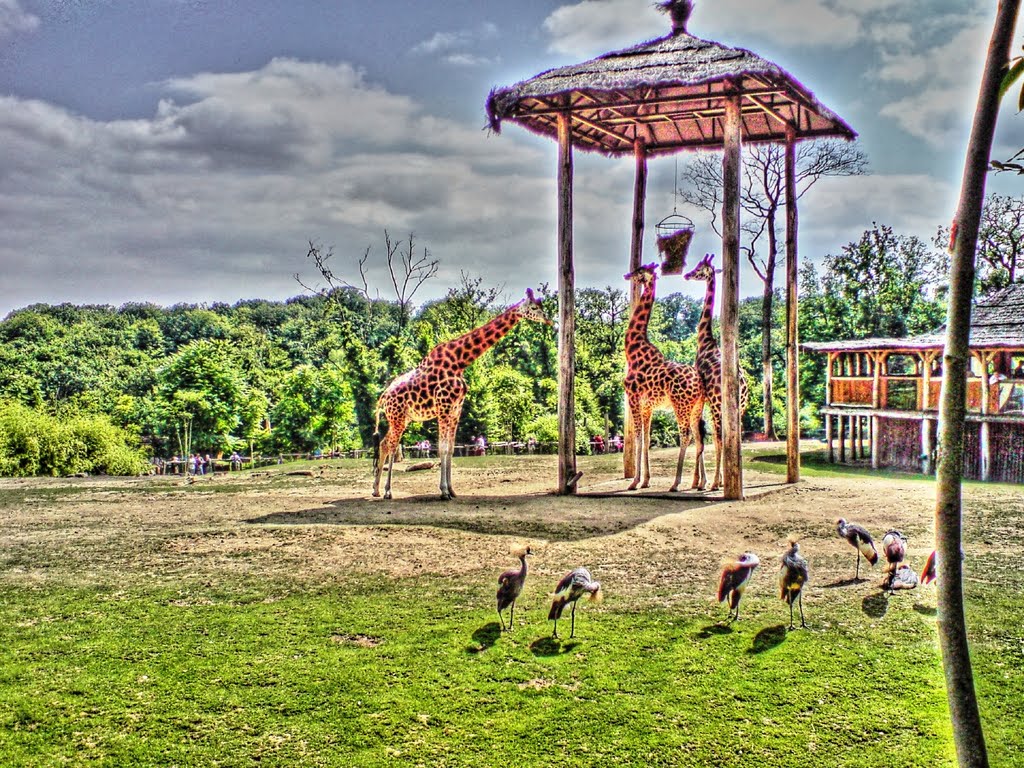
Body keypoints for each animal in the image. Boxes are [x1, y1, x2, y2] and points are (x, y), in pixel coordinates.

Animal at [372, 288, 552, 499]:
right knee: (392, 446)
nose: (549, 321)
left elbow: (450, 449)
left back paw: (376, 489)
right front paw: (443, 492)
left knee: (384, 443)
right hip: (398, 417)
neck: (459, 362)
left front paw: (452, 490)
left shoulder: (456, 409)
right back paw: (387, 491)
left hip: (403, 418)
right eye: (534, 307)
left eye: (541, 305)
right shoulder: (444, 408)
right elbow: (442, 448)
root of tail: (383, 397)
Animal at [622, 264, 704, 493]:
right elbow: (647, 438)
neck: (632, 349)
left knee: (686, 436)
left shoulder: (633, 398)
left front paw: (634, 481)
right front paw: (645, 480)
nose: (627, 275)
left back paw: (676, 483)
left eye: (640, 270)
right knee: (699, 437)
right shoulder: (647, 406)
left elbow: (638, 437)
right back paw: (701, 482)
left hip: (681, 405)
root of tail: (700, 384)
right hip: (696, 407)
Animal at [684, 252, 749, 493]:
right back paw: (730, 480)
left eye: (699, 268)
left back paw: (714, 483)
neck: (705, 341)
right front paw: (707, 480)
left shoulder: (704, 397)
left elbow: (702, 436)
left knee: (720, 437)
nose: (687, 274)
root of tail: (742, 385)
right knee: (733, 437)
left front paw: (701, 481)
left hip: (719, 405)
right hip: (739, 408)